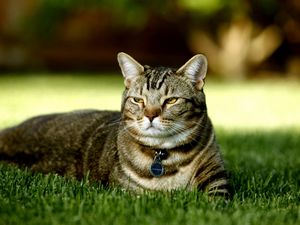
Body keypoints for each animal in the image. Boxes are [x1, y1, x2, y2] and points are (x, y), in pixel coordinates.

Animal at [0, 52, 230, 195]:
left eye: (171, 100)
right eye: (138, 100)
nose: (151, 115)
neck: (164, 155)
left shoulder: (216, 176)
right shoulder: (128, 191)